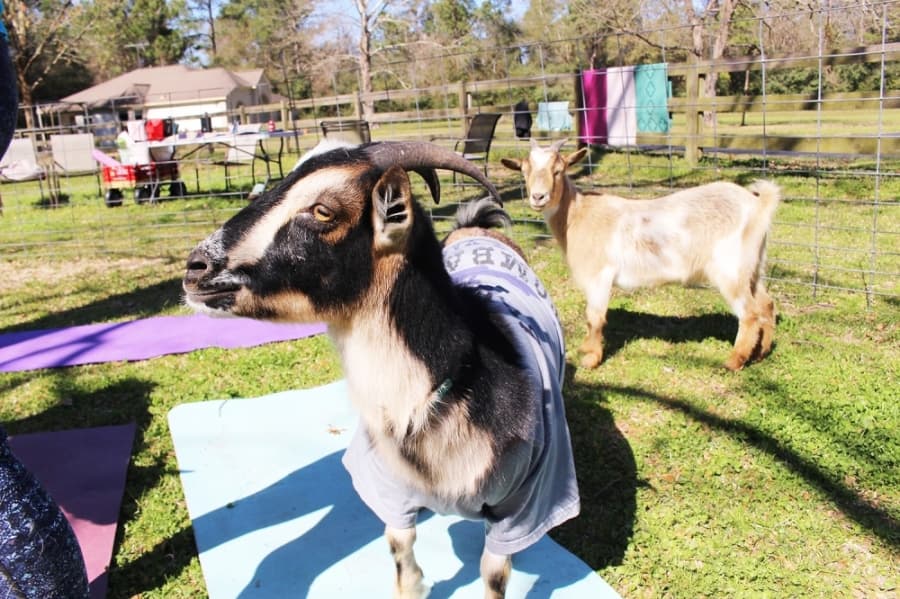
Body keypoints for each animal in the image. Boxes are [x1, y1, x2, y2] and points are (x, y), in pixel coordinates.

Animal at [183, 141, 580, 598]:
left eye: (323, 211)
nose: (196, 268)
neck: (456, 386)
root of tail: (476, 227)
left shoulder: (528, 502)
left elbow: (494, 572)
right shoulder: (386, 480)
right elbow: (399, 543)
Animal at [502, 139, 779, 371]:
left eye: (558, 170)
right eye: (524, 171)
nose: (538, 197)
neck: (577, 215)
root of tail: (758, 204)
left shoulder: (599, 274)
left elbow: (594, 317)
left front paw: (591, 358)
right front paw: (586, 350)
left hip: (729, 268)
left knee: (749, 313)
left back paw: (734, 361)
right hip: (752, 266)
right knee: (765, 303)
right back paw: (761, 353)